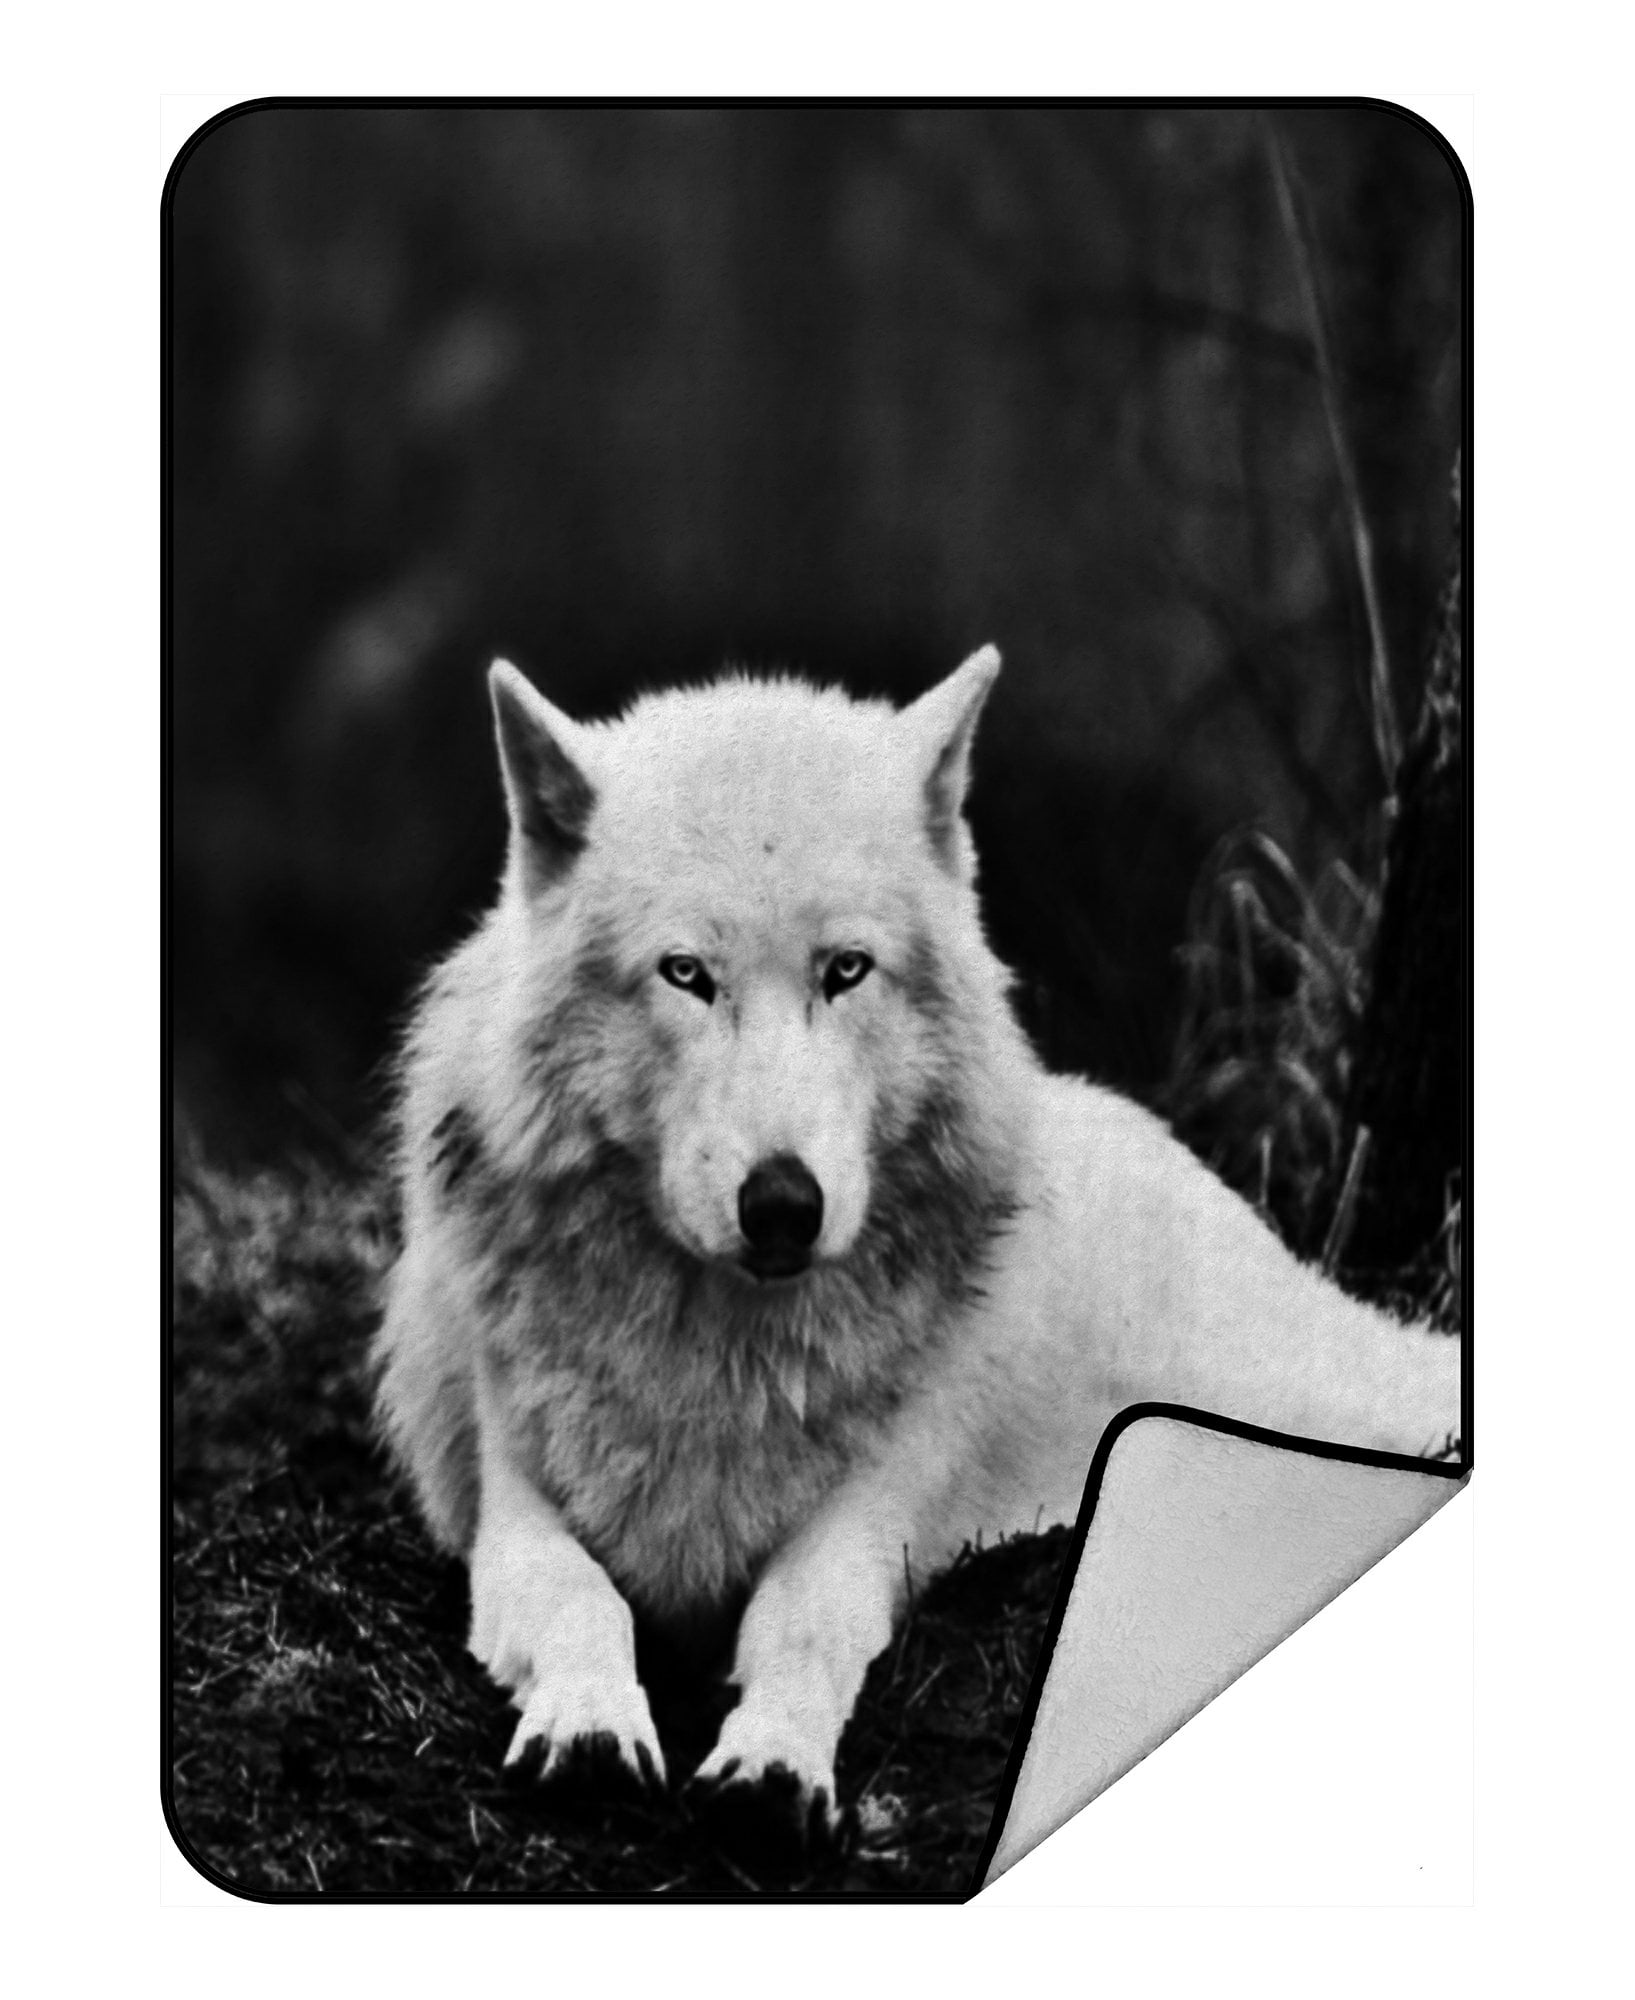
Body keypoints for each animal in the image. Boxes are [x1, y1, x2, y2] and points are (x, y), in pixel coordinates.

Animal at [373, 646, 1460, 1845]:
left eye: (846, 969)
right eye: (685, 973)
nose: (783, 1203)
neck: (721, 1355)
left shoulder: (873, 1509)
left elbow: (803, 1617)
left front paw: (771, 1762)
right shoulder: (510, 1501)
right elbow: (581, 1597)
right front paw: (592, 1726)